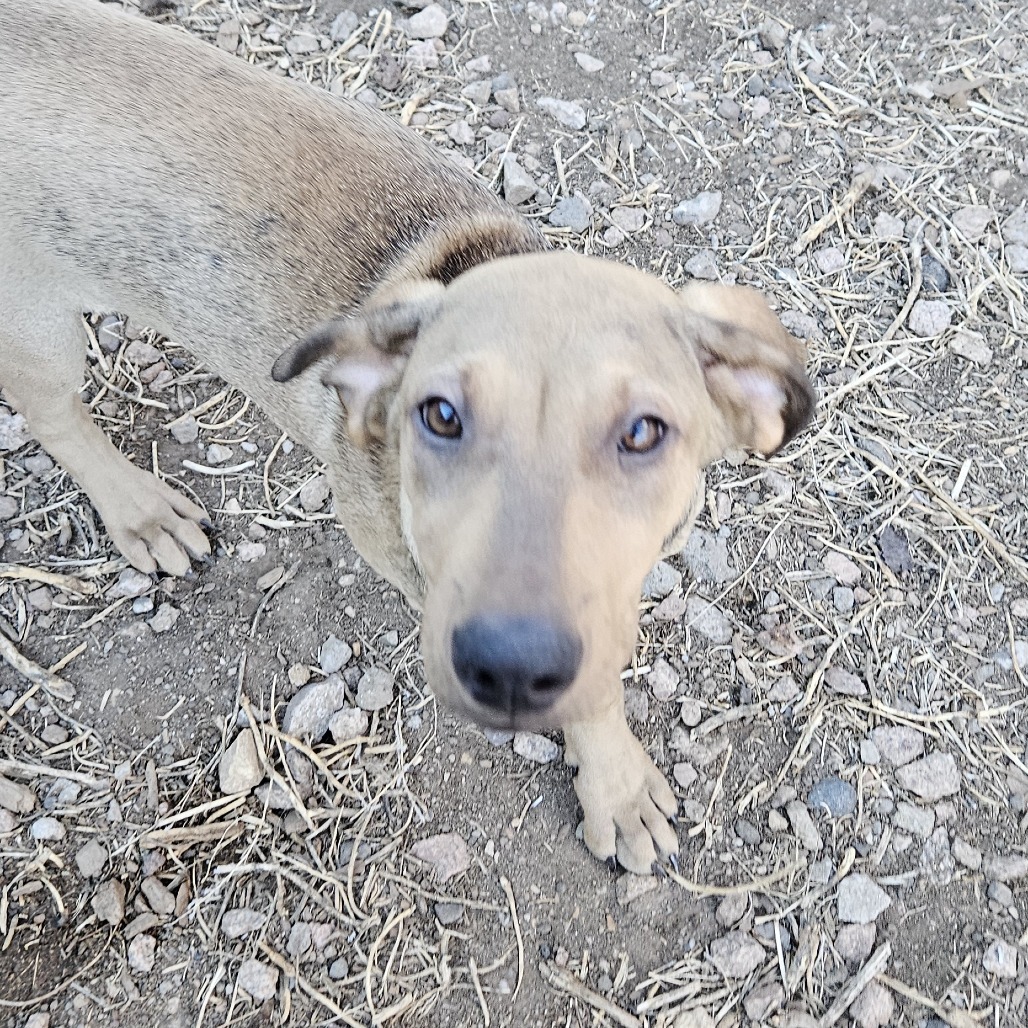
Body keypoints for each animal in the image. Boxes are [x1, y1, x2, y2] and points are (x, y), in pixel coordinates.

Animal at [0, 2, 814, 875]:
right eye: (441, 416)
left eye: (643, 433)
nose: (509, 668)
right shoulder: (406, 563)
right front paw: (616, 790)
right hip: (36, 324)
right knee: (56, 417)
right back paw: (141, 513)